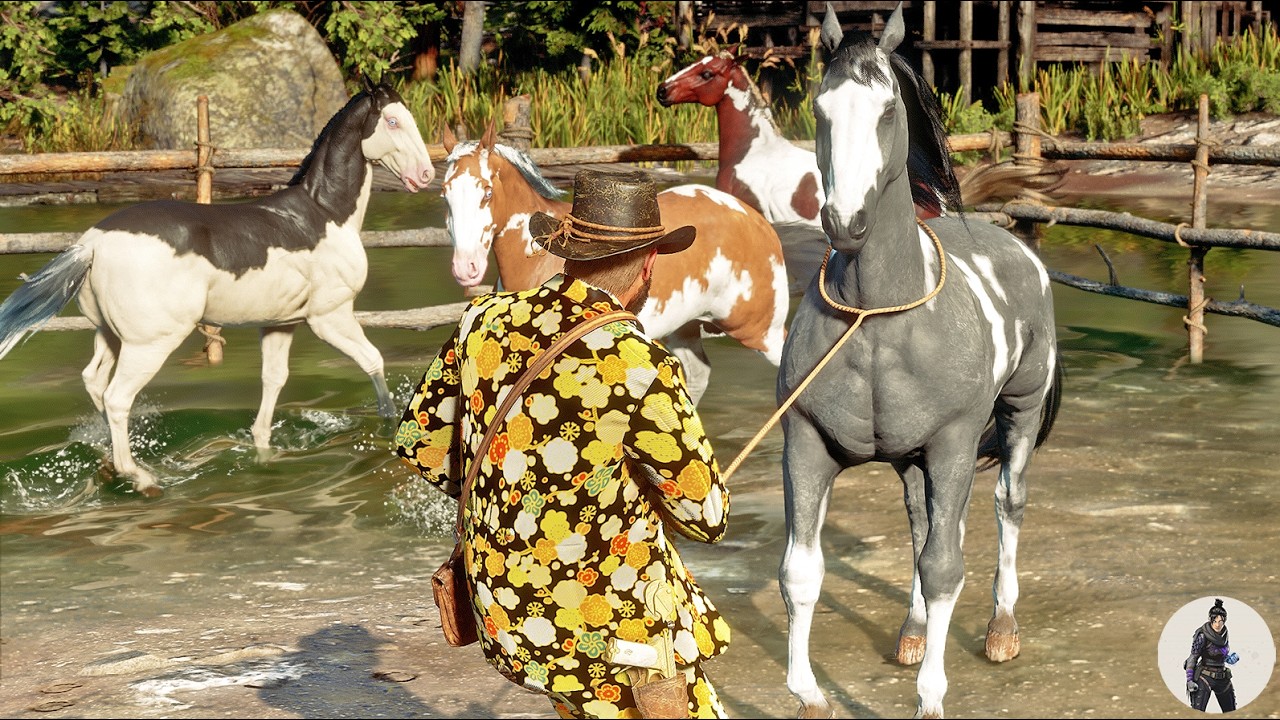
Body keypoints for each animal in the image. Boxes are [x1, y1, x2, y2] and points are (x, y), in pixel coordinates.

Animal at [0, 81, 435, 498]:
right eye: (393, 121)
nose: (427, 175)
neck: (324, 215)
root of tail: (92, 244)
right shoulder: (330, 317)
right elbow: (373, 361)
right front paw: (389, 427)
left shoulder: (280, 324)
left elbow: (273, 383)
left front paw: (262, 454)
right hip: (149, 345)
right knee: (116, 399)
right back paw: (140, 478)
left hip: (109, 334)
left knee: (94, 382)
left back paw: (108, 463)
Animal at [439, 123, 789, 405]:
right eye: (445, 194)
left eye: (487, 191)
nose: (465, 268)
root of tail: (754, 219)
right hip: (685, 329)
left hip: (761, 331)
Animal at [776, 4, 1062, 718]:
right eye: (820, 108)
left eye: (886, 111)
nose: (845, 223)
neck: (877, 321)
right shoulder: (806, 443)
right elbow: (802, 571)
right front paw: (808, 693)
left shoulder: (955, 443)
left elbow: (943, 568)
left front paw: (931, 697)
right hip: (912, 458)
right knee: (919, 519)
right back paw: (911, 632)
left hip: (1017, 414)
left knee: (1006, 503)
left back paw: (1001, 629)